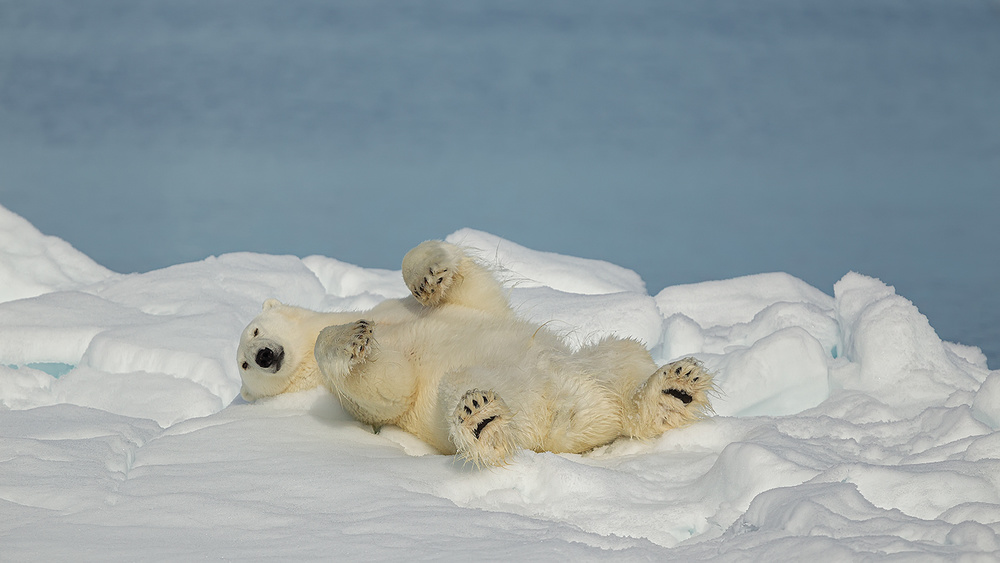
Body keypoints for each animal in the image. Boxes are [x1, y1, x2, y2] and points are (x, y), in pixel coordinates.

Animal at [238, 242, 716, 468]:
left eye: (255, 330)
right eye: (243, 363)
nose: (262, 355)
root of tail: (558, 426)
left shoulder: (426, 307)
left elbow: (470, 287)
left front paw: (430, 273)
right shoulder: (352, 401)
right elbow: (391, 387)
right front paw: (353, 337)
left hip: (588, 367)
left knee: (625, 356)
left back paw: (675, 388)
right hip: (494, 399)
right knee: (460, 389)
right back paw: (481, 418)